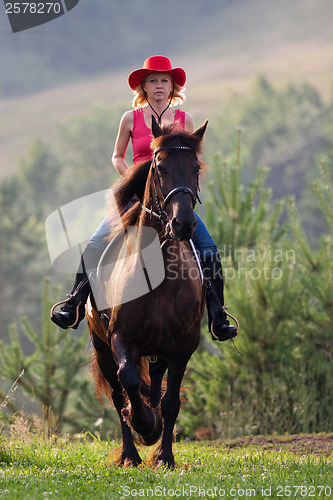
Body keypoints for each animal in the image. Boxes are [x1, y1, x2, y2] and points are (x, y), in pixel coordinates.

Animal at [86, 118, 208, 468]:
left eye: (195, 167)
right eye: (160, 166)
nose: (183, 224)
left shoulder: (184, 345)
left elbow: (170, 402)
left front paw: (164, 456)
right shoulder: (119, 338)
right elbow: (128, 381)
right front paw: (144, 425)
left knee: (154, 389)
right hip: (101, 346)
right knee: (117, 394)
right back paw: (130, 453)